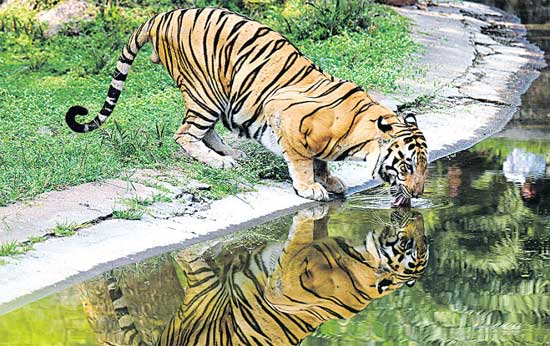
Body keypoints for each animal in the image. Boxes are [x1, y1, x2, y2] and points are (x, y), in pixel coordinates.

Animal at [66, 6, 432, 204]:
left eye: (424, 167)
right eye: (406, 166)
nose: (418, 194)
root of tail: (161, 16)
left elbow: (321, 160)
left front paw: (329, 181)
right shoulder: (282, 112)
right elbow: (302, 160)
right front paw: (309, 188)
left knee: (202, 131)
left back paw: (231, 153)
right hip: (206, 91)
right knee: (184, 134)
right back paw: (221, 163)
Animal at [156, 204, 432, 344]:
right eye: (410, 243)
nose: (417, 216)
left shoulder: (280, 286)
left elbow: (295, 241)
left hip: (205, 295)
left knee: (191, 257)